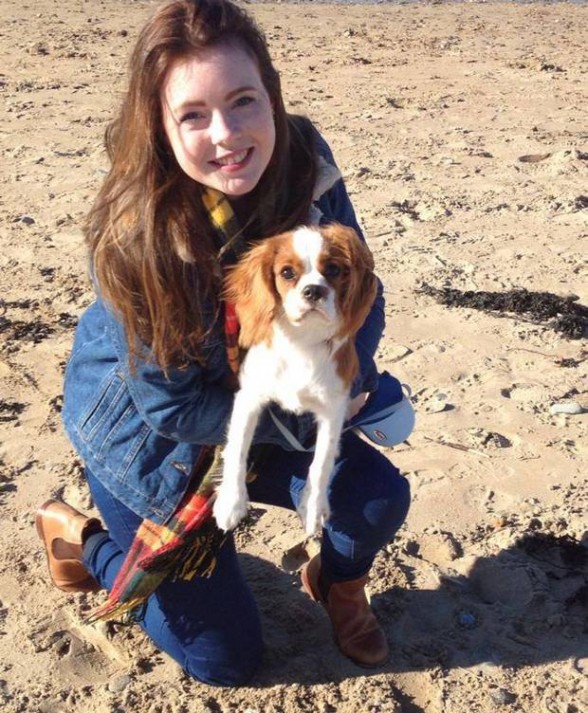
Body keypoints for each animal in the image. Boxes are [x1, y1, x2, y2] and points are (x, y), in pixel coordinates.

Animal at [212, 224, 376, 536]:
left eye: (333, 269)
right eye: (287, 273)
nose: (314, 290)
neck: (303, 341)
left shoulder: (333, 409)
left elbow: (321, 462)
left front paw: (313, 506)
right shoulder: (249, 397)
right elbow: (237, 447)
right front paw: (231, 502)